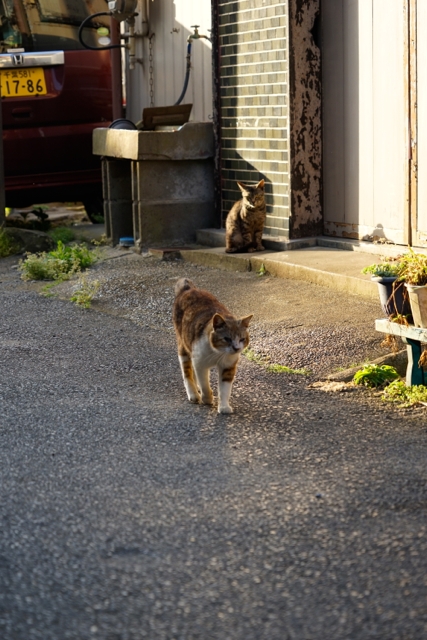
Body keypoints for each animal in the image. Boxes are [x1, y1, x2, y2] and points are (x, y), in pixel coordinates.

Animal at [173, 278, 253, 414]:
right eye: (227, 339)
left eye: (242, 339)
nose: (236, 348)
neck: (218, 353)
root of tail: (189, 289)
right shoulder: (199, 363)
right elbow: (204, 383)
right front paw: (207, 398)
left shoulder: (228, 366)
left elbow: (225, 389)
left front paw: (224, 406)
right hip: (184, 346)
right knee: (187, 372)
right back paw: (193, 394)